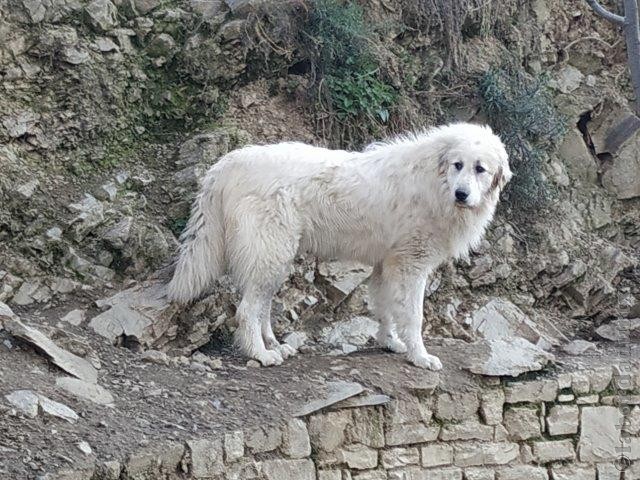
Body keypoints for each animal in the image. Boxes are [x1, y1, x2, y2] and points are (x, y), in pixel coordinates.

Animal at [168, 122, 512, 370]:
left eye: (480, 169)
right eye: (458, 165)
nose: (461, 194)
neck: (435, 182)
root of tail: (228, 162)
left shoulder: (387, 264)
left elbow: (386, 308)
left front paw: (390, 343)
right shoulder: (410, 266)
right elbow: (413, 317)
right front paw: (420, 357)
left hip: (275, 258)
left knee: (261, 306)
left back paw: (274, 344)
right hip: (271, 254)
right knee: (247, 310)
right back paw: (260, 354)